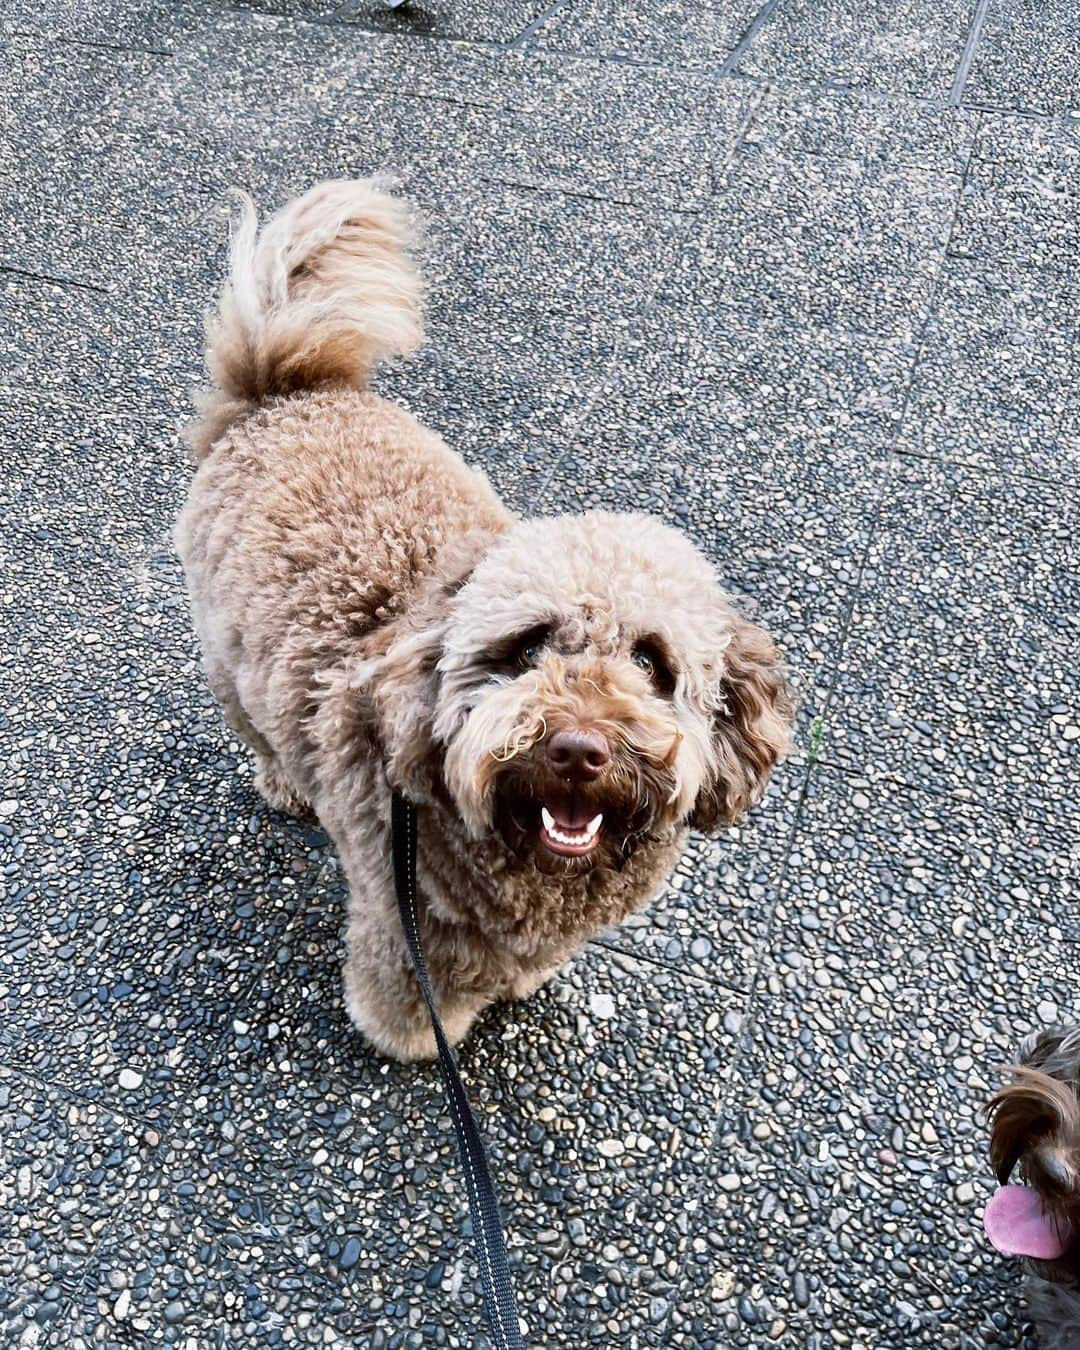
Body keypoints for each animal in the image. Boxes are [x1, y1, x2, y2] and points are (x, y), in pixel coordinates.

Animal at [170, 182, 793, 1063]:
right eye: (526, 647)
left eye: (651, 663)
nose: (579, 750)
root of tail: (283, 393)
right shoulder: (402, 915)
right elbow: (406, 992)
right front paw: (413, 1039)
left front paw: (526, 983)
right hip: (227, 660)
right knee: (256, 730)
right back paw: (285, 783)